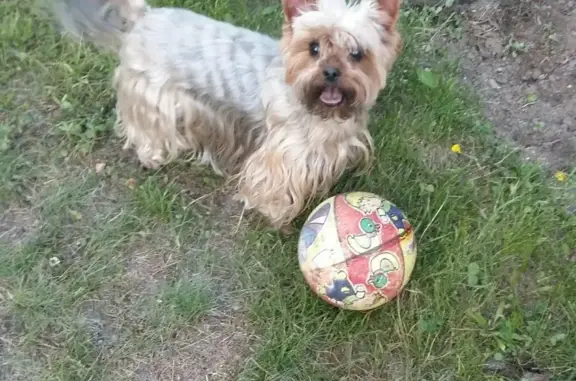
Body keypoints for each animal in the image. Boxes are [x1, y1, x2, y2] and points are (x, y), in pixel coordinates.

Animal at [54, 0, 400, 230]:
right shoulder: (284, 154)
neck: (322, 112)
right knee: (144, 126)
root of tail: (146, 15)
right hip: (150, 91)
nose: (330, 72)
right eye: (313, 47)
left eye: (357, 53)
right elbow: (272, 185)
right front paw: (273, 213)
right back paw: (152, 155)